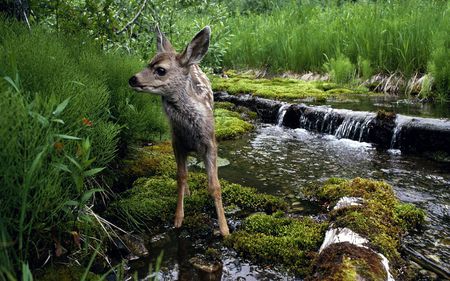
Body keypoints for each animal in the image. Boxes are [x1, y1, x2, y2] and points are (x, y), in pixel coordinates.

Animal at [128, 25, 230, 235]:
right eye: (148, 62)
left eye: (160, 70)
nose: (132, 79)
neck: (190, 129)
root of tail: (193, 63)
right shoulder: (177, 142)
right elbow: (180, 176)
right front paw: (178, 219)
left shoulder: (211, 143)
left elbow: (215, 186)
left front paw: (225, 230)